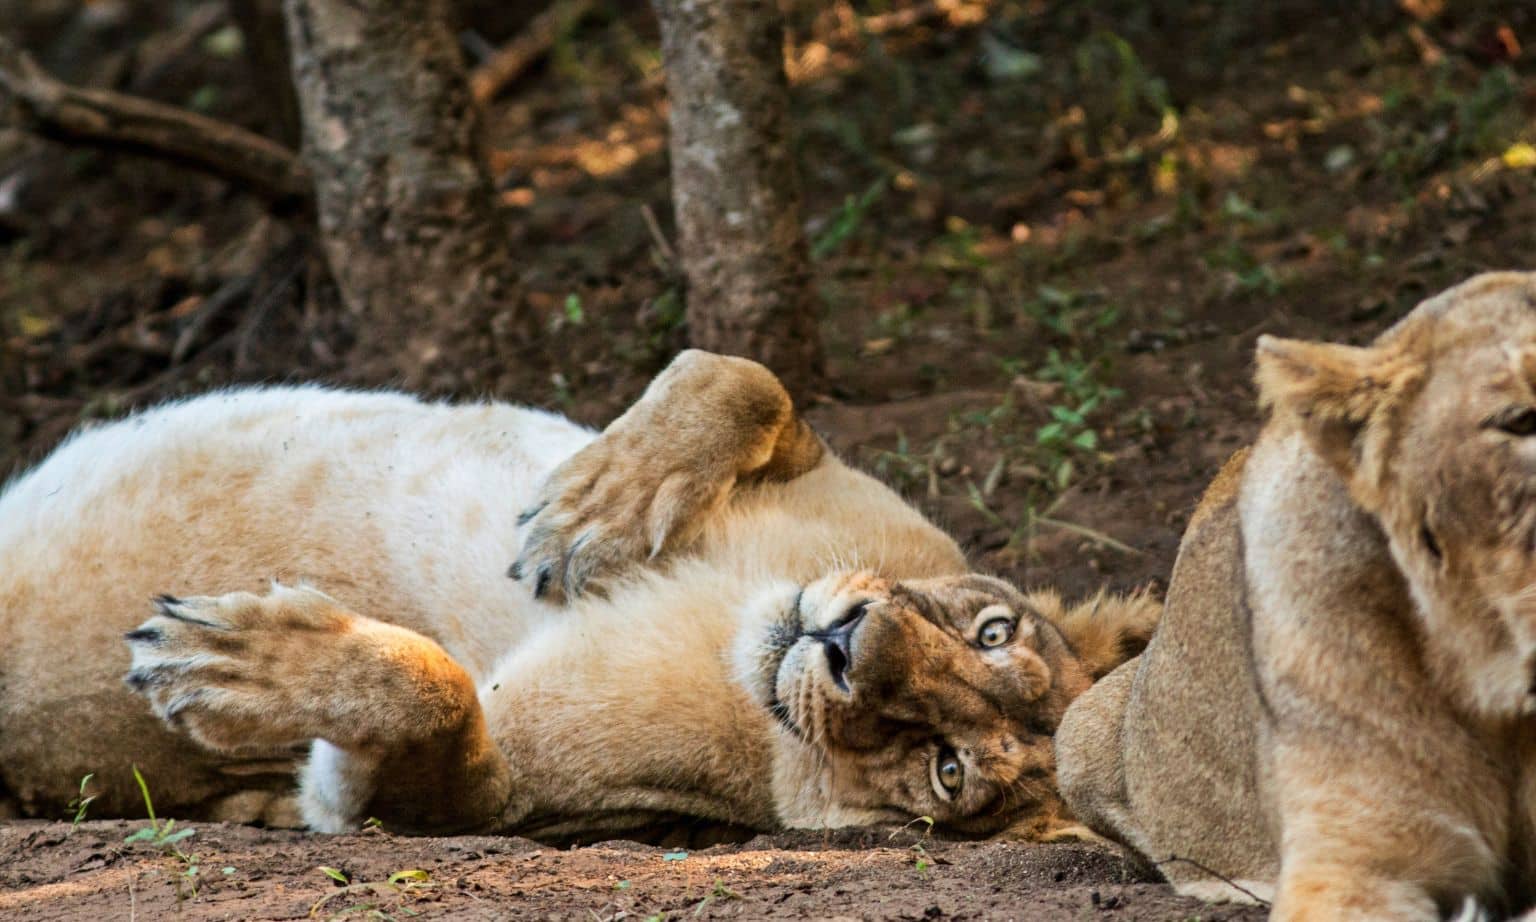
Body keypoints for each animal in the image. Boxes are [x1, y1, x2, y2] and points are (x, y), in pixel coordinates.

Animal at [0, 350, 1157, 843]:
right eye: (992, 631)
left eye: (945, 769)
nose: (843, 646)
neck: (736, 624)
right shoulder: (836, 487)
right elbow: (743, 376)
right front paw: (591, 513)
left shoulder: (497, 797)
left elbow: (438, 709)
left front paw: (220, 662)